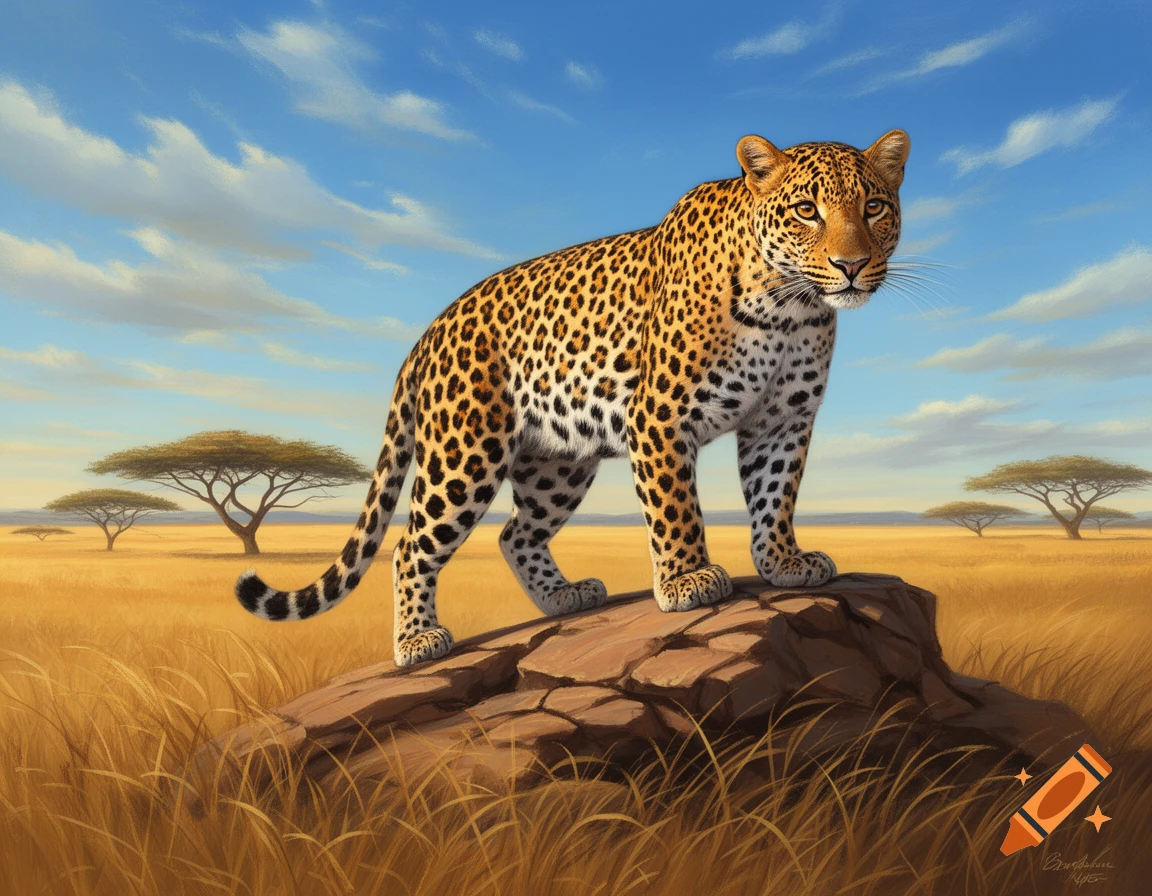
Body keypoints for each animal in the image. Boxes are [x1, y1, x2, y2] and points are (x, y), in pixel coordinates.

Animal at [235, 129, 911, 668]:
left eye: (874, 206)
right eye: (806, 210)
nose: (852, 265)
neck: (789, 308)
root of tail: (429, 332)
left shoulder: (782, 422)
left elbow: (775, 497)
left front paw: (782, 563)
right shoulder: (660, 416)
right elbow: (676, 507)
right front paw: (688, 580)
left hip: (556, 463)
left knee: (515, 534)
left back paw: (563, 598)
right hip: (464, 453)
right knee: (410, 546)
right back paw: (416, 643)